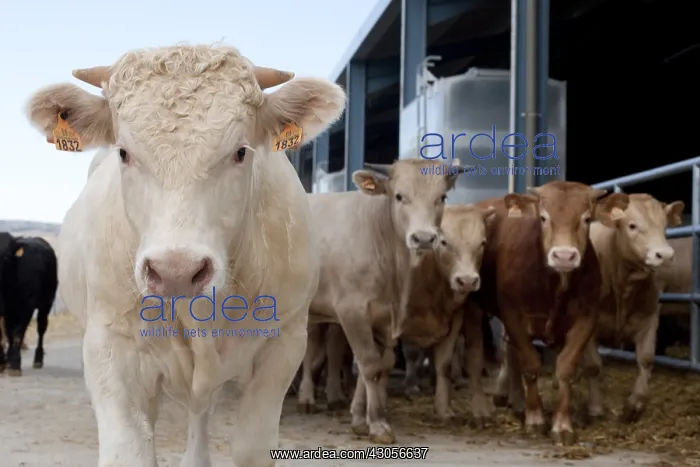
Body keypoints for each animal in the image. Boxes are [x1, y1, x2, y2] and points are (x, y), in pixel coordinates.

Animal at [0, 233, 58, 375]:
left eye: (5, 256)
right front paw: (4, 363)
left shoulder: (27, 307)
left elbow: (18, 333)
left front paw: (14, 365)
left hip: (46, 303)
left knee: (41, 328)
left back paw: (38, 359)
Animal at [25, 44, 345, 467]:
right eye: (123, 152)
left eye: (241, 151)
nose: (176, 271)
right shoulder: (109, 346)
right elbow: (130, 450)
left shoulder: (286, 342)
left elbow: (252, 447)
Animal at [303, 159, 462, 444]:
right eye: (399, 196)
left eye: (441, 197)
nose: (423, 238)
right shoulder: (352, 312)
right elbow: (369, 365)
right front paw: (377, 424)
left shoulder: (386, 319)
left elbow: (381, 365)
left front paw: (359, 419)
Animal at [468, 181, 630, 445]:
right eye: (543, 218)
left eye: (586, 218)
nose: (564, 255)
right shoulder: (514, 315)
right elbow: (531, 365)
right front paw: (535, 419)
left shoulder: (585, 319)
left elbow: (565, 369)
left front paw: (562, 425)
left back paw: (517, 402)